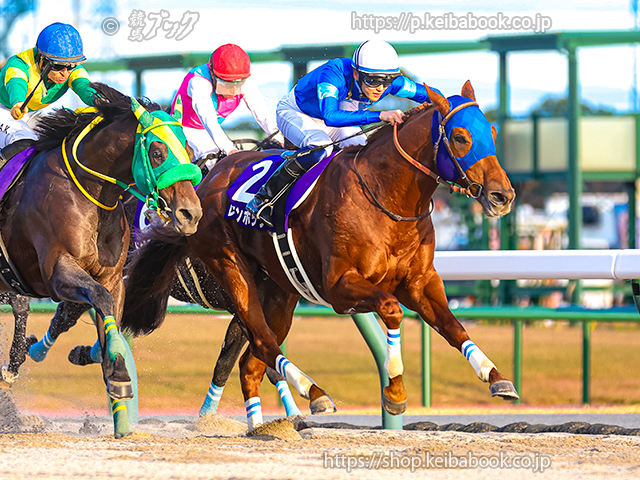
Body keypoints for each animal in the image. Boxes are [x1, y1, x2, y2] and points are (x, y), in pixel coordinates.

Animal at [0, 82, 202, 437]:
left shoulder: (111, 277)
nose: (190, 214)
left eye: (189, 152)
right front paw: (119, 374)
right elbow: (101, 300)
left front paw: (97, 359)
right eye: (157, 152)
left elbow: (108, 318)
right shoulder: (57, 272)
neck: (91, 194)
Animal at [121, 81, 518, 423]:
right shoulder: (339, 286)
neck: (386, 197)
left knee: (253, 361)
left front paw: (496, 376)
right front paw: (395, 393)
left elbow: (452, 325)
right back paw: (313, 393)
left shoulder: (419, 283)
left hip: (279, 290)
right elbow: (391, 311)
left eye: (493, 133)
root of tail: (210, 181)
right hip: (231, 269)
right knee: (262, 344)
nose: (503, 196)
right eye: (461, 137)